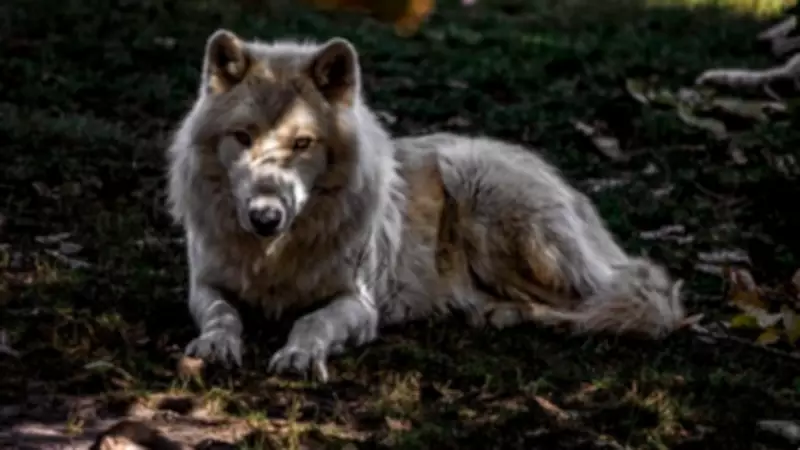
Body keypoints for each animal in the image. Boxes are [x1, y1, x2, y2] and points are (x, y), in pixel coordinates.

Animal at [166, 28, 687, 382]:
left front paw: (299, 354)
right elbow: (222, 313)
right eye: (243, 137)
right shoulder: (205, 285)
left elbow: (313, 321)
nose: (265, 217)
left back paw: (506, 315)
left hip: (480, 190)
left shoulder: (358, 303)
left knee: (631, 300)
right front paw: (214, 344)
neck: (275, 256)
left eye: (302, 143)